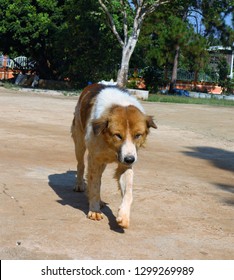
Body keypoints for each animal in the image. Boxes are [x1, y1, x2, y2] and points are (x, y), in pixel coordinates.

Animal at [70, 83, 156, 228]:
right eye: (118, 135)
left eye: (138, 135)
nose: (130, 159)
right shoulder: (95, 160)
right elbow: (94, 186)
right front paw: (94, 210)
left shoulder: (125, 164)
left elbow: (129, 192)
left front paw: (124, 215)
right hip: (80, 144)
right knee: (81, 165)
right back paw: (80, 184)